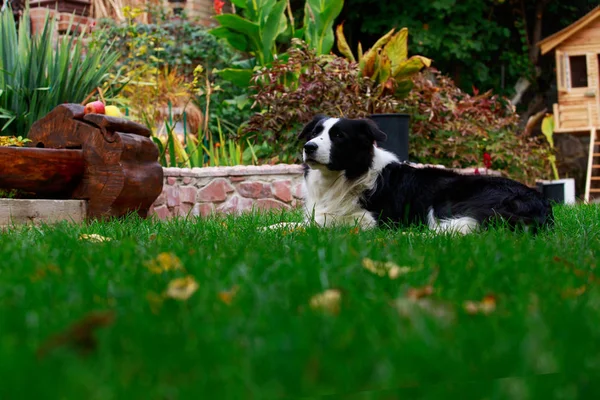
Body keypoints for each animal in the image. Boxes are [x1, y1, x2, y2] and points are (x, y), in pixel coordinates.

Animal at [298, 114, 556, 234]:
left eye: (338, 136)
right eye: (314, 133)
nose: (308, 147)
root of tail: (540, 202)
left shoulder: (374, 219)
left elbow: (318, 222)